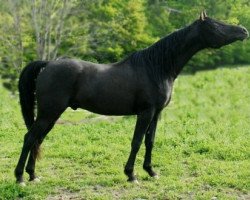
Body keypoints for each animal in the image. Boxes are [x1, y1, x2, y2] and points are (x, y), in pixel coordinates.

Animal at [15, 11, 248, 185]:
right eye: (215, 26)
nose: (244, 31)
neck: (156, 67)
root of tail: (48, 64)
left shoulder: (156, 113)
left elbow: (150, 141)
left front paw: (151, 172)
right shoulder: (145, 112)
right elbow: (136, 141)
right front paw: (131, 175)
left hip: (50, 115)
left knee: (37, 139)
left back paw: (33, 175)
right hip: (49, 113)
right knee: (29, 138)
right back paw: (20, 178)